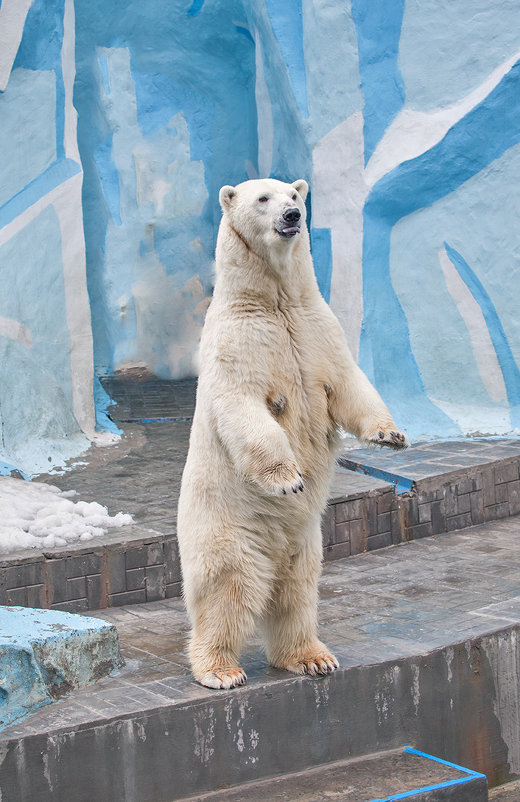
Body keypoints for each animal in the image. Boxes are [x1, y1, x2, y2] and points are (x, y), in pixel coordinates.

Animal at [177, 177, 408, 688]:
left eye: (294, 194)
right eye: (262, 198)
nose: (291, 216)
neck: (276, 301)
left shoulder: (317, 329)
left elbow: (349, 385)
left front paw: (392, 436)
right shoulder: (239, 342)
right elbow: (244, 405)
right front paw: (288, 479)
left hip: (307, 542)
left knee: (297, 594)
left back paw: (310, 656)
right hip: (227, 527)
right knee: (228, 590)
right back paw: (220, 668)